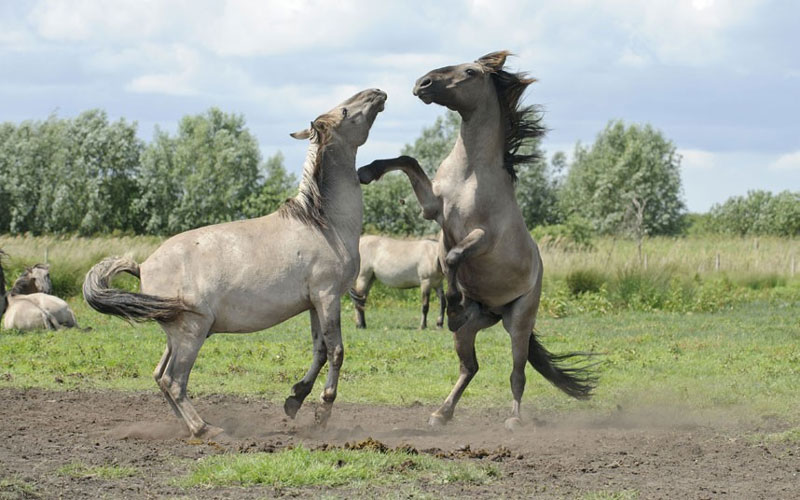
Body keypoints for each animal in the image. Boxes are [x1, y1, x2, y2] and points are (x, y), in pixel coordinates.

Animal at [82, 89, 388, 438]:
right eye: (345, 111)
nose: (377, 93)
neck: (324, 224)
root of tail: (143, 266)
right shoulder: (327, 296)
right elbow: (336, 352)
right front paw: (322, 411)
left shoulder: (315, 303)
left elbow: (320, 351)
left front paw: (295, 399)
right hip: (192, 333)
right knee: (173, 380)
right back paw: (205, 429)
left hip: (176, 336)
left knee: (160, 376)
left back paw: (188, 426)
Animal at [356, 52, 592, 432]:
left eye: (469, 72)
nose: (421, 83)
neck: (470, 173)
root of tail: (495, 311)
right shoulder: (432, 209)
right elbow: (408, 161)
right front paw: (366, 171)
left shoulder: (483, 237)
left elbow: (453, 257)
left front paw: (452, 306)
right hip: (470, 332)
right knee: (470, 367)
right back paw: (441, 413)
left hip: (519, 322)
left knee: (517, 373)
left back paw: (514, 419)